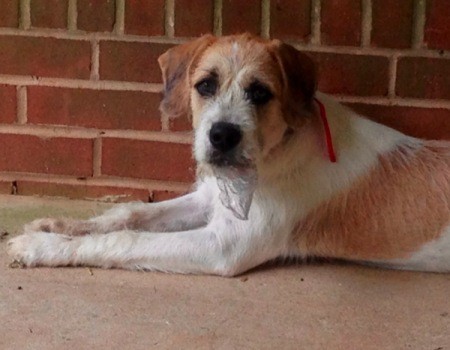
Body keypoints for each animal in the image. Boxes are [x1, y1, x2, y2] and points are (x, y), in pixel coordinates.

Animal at [7, 34, 450, 276]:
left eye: (260, 93)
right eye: (205, 85)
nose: (221, 135)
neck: (274, 155)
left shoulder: (224, 245)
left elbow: (127, 239)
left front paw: (42, 247)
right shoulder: (210, 200)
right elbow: (129, 214)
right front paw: (55, 226)